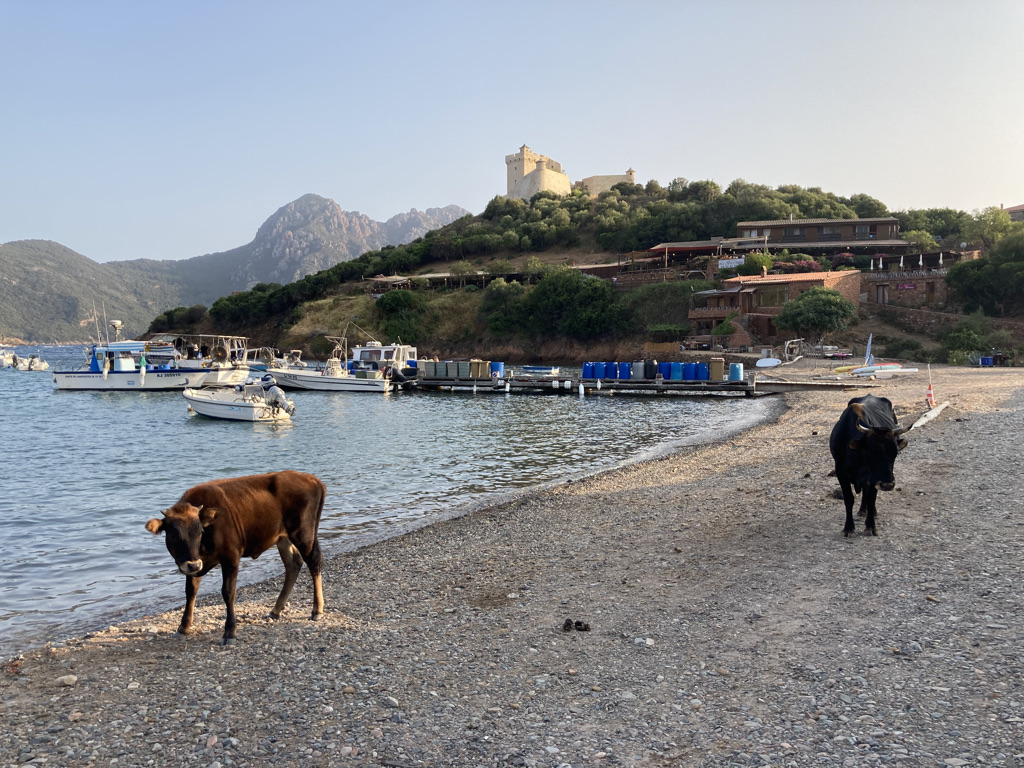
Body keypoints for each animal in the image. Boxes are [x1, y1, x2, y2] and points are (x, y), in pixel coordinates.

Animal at [145, 473, 323, 647]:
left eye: (200, 531)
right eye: (173, 535)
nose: (193, 564)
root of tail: (312, 478)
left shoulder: (231, 557)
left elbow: (228, 592)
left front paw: (230, 632)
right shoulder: (196, 564)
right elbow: (191, 591)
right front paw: (183, 627)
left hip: (304, 535)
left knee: (314, 562)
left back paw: (317, 610)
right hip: (282, 538)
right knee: (293, 564)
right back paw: (276, 610)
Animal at [827, 397, 909, 536]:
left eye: (895, 453)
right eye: (871, 453)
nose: (888, 485)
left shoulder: (873, 478)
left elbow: (871, 499)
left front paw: (870, 526)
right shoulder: (840, 472)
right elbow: (849, 499)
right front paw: (849, 527)